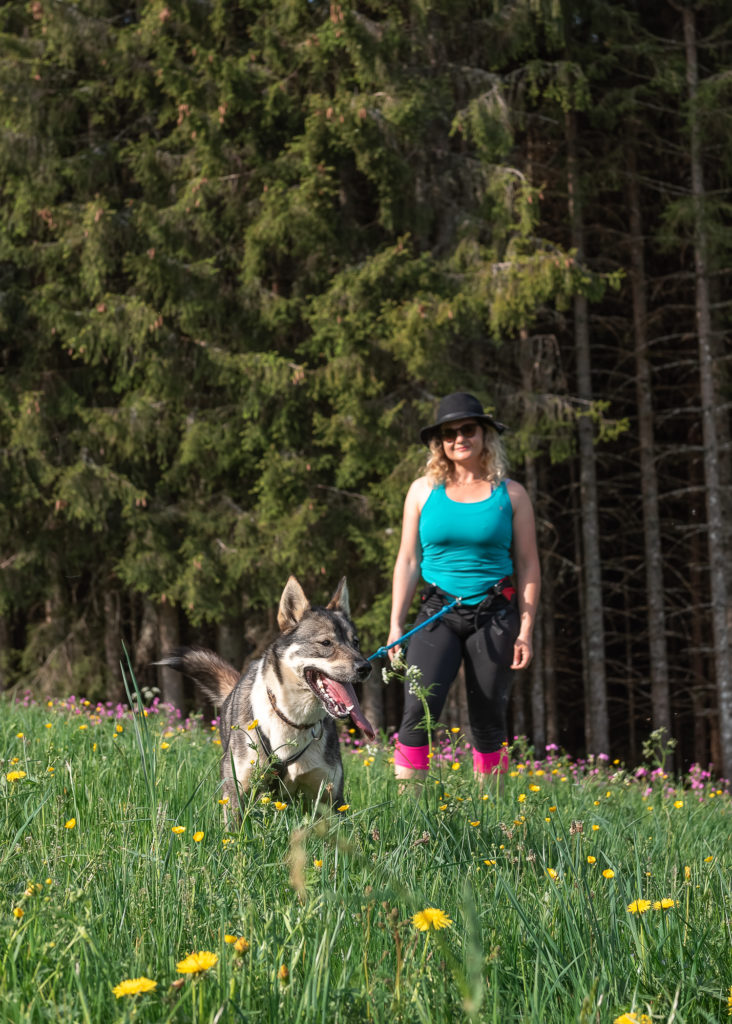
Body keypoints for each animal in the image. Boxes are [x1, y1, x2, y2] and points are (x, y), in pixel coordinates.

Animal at [160, 577, 378, 815]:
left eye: (355, 642)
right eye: (326, 643)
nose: (365, 667)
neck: (293, 720)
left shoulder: (330, 800)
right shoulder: (236, 792)